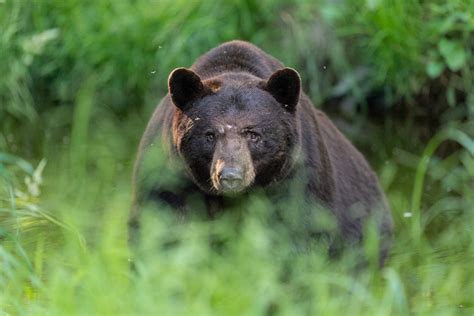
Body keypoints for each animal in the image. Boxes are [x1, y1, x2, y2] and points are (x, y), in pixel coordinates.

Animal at [130, 40, 392, 266]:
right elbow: (161, 226)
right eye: (210, 135)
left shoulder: (297, 176)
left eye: (253, 134)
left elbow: (301, 232)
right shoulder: (169, 175)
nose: (231, 176)